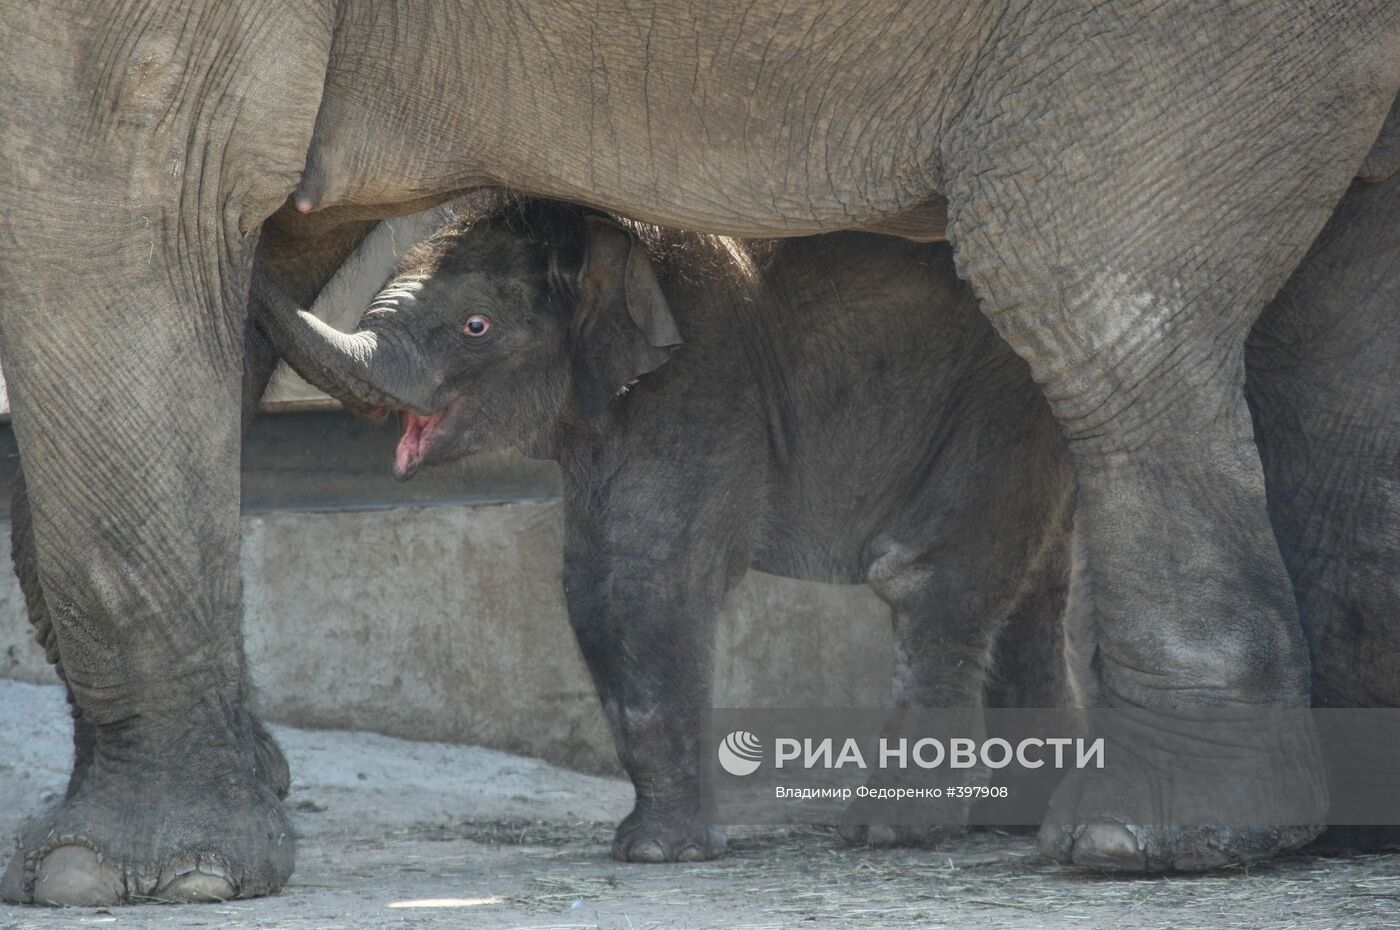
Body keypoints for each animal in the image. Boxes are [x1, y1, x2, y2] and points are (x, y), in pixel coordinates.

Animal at [260, 200, 1069, 862]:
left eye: (476, 327)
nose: (266, 235)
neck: (612, 250)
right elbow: (589, 582)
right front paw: (646, 847)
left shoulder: (702, 386)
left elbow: (648, 576)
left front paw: (658, 855)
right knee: (1036, 588)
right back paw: (1011, 825)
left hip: (1000, 396)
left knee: (936, 578)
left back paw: (891, 834)